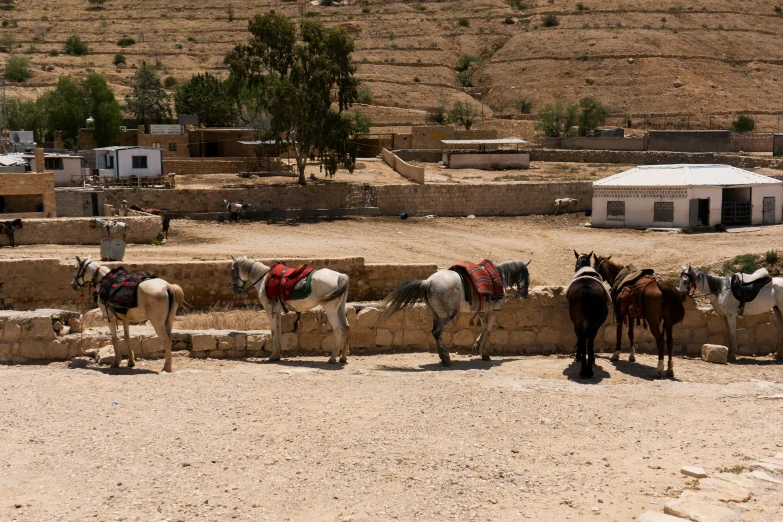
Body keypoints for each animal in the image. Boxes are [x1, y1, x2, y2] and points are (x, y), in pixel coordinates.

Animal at [382, 260, 532, 366]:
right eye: (527, 275)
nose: (525, 294)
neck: (500, 277)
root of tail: (428, 282)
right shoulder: (494, 310)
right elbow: (488, 330)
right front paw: (484, 353)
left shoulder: (482, 311)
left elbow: (483, 328)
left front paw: (476, 347)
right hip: (448, 315)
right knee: (437, 332)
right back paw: (446, 358)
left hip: (435, 314)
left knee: (435, 332)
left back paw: (442, 357)